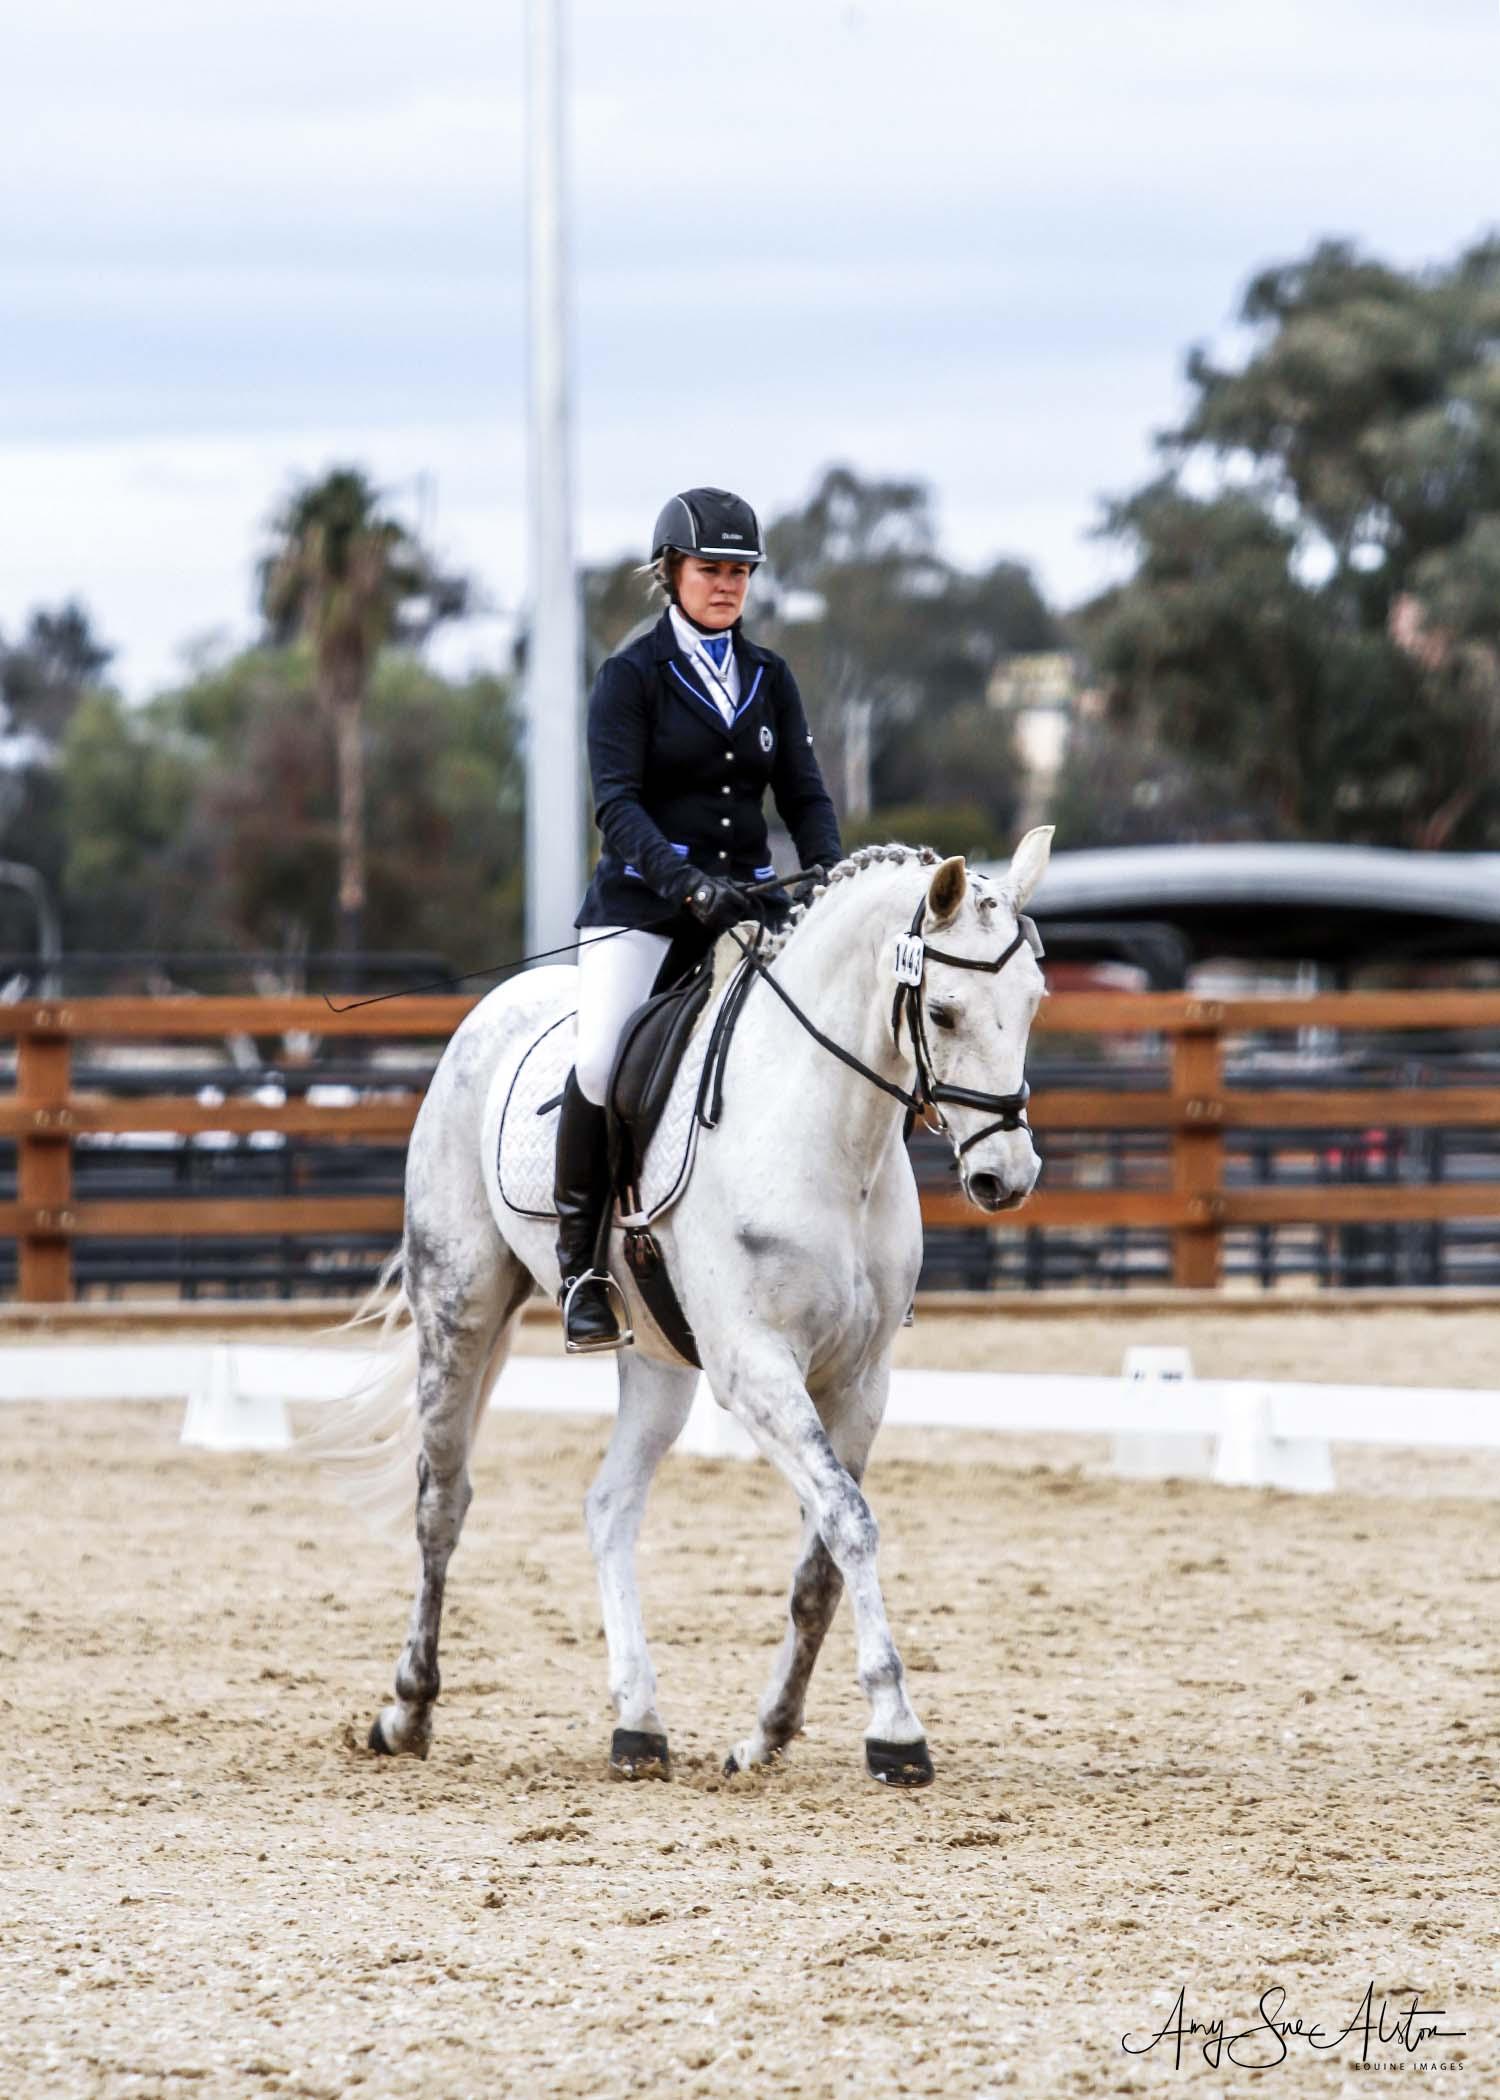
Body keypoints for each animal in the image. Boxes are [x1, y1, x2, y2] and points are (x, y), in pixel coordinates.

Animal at [330, 829, 1052, 1788]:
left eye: (1033, 1001)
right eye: (942, 1012)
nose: (1006, 1178)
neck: (829, 1134)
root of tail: (492, 1009)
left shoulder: (862, 1380)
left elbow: (821, 1558)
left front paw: (769, 1732)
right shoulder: (755, 1368)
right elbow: (851, 1524)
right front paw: (896, 1729)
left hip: (657, 1361)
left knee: (608, 1507)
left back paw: (637, 1723)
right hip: (461, 1308)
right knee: (441, 1500)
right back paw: (407, 1710)